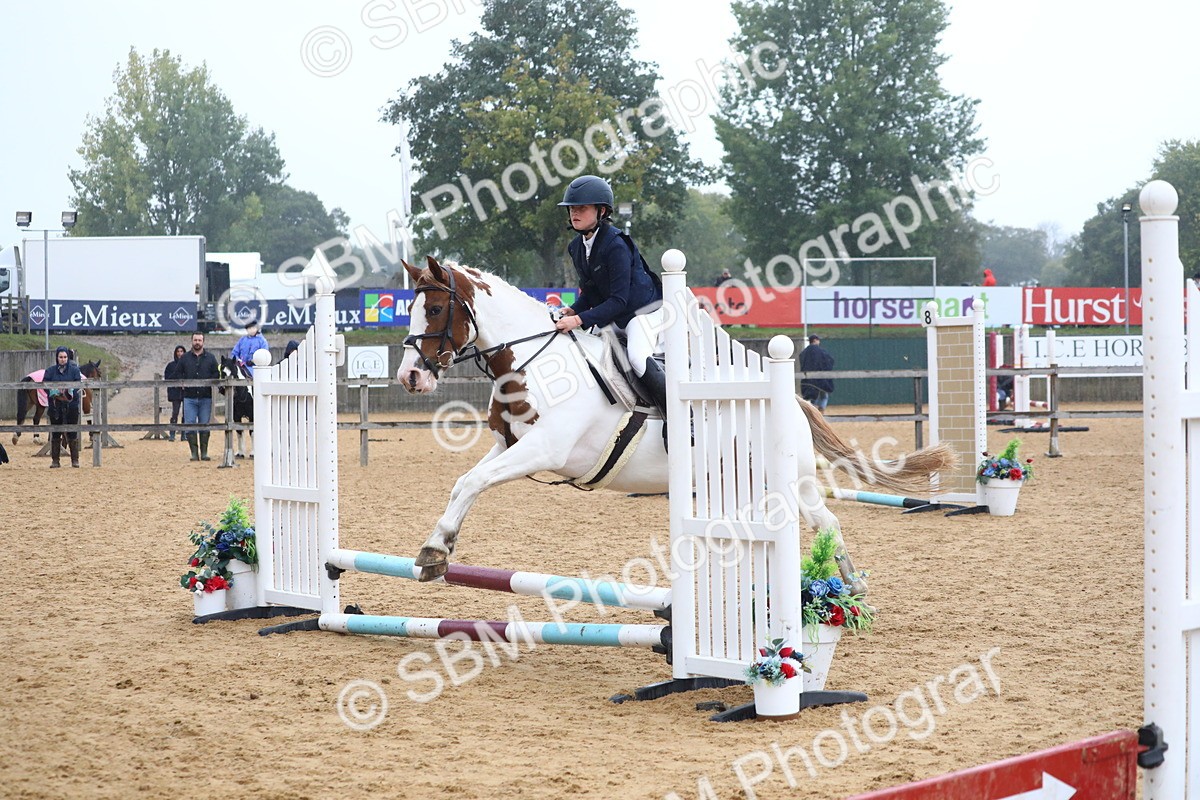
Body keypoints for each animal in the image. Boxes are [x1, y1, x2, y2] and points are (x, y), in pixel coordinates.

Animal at [396, 256, 956, 583]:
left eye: (437, 308)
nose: (409, 377)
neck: (536, 362)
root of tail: (791, 402)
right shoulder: (510, 445)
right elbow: (464, 483)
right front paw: (437, 550)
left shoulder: (545, 449)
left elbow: (474, 481)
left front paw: (433, 551)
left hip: (785, 481)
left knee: (823, 523)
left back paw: (846, 591)